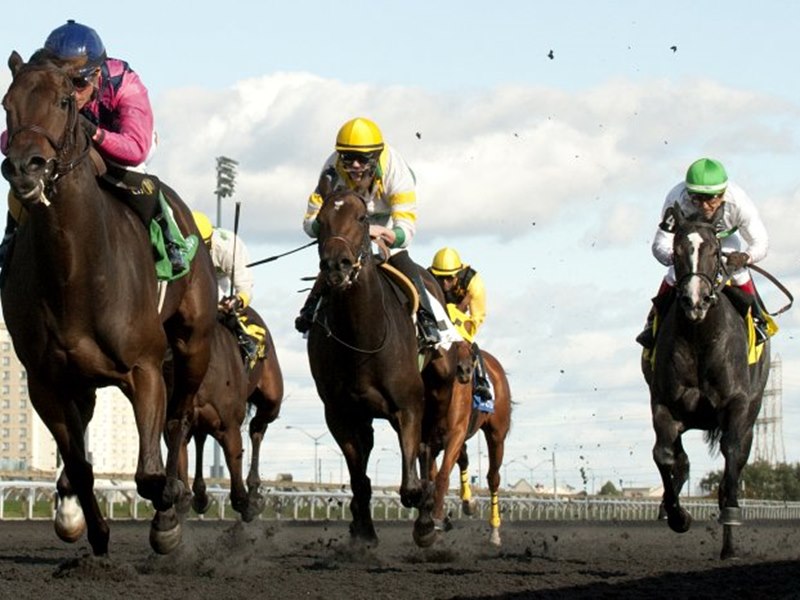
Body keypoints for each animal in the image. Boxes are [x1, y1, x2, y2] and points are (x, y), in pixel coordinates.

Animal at [0, 49, 217, 556]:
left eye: (64, 100)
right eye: (6, 103)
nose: (24, 167)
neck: (76, 272)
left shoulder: (145, 368)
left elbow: (149, 473)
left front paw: (167, 515)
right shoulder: (45, 382)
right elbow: (80, 467)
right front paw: (90, 531)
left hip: (193, 343)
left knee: (179, 420)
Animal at [175, 304, 284, 520]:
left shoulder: (228, 424)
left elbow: (234, 455)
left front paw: (246, 502)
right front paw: (185, 498)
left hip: (272, 399)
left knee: (257, 428)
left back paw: (254, 490)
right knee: (201, 437)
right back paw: (200, 495)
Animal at [308, 189, 456, 548]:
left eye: (362, 218)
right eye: (320, 220)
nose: (336, 265)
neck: (362, 337)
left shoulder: (408, 406)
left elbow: (412, 484)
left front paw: (426, 522)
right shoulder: (340, 414)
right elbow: (359, 478)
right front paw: (363, 532)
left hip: (437, 385)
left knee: (428, 450)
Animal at [432, 340, 512, 548]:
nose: (464, 370)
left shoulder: (456, 432)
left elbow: (441, 476)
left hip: (496, 436)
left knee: (493, 478)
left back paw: (494, 531)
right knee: (464, 458)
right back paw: (468, 503)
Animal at [640, 204, 772, 560]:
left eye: (715, 250)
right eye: (676, 250)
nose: (694, 301)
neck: (700, 337)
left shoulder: (737, 406)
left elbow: (731, 457)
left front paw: (730, 517)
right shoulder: (665, 405)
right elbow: (664, 455)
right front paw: (678, 516)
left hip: (752, 415)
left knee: (733, 462)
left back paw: (728, 543)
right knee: (681, 459)